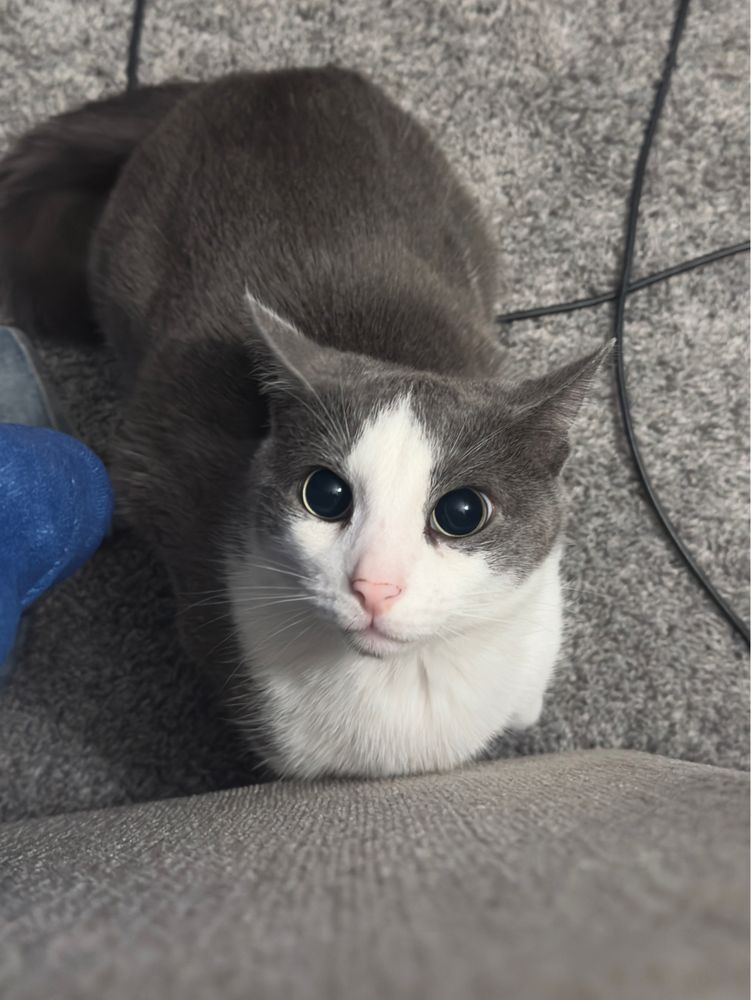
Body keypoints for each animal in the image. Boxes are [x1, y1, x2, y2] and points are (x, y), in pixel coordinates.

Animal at [1, 66, 612, 780]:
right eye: (325, 495)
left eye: (462, 513)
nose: (374, 586)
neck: (406, 690)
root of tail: (264, 78)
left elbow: (524, 698)